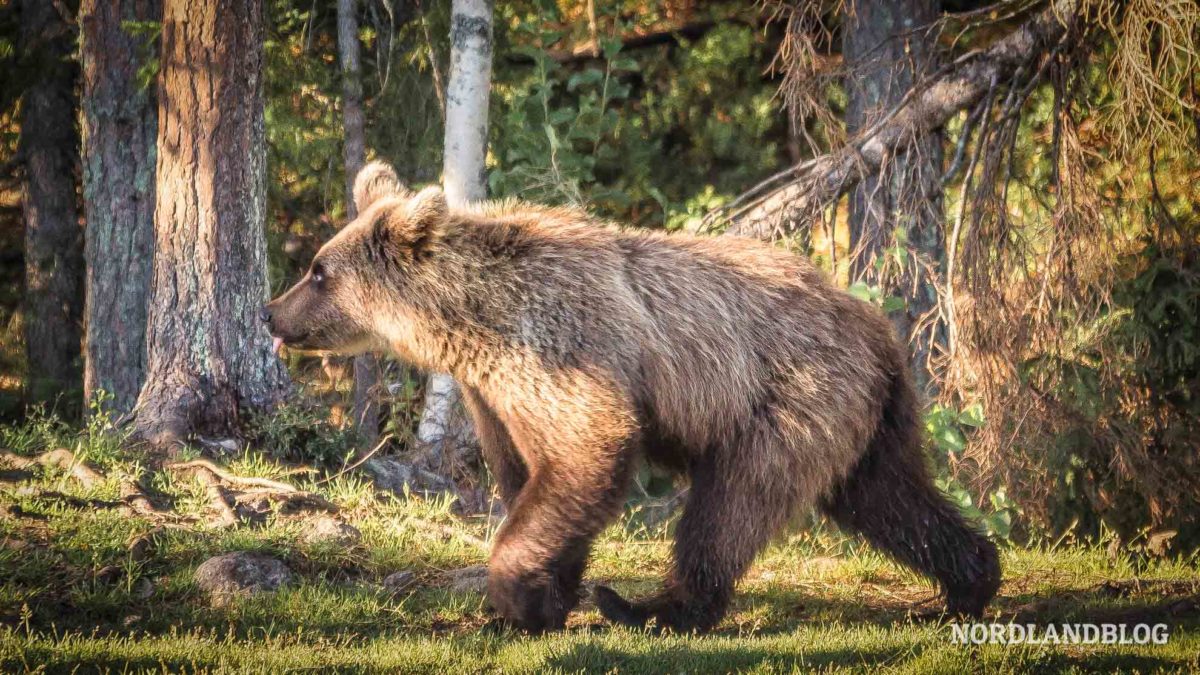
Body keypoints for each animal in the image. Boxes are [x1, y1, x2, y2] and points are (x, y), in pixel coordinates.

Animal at [265, 162, 1003, 629]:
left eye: (318, 271)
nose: (272, 312)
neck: (469, 321)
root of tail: (880, 330)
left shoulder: (560, 347)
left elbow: (588, 448)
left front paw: (514, 593)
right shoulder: (495, 394)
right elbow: (536, 476)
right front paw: (543, 599)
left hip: (788, 398)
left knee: (731, 507)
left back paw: (655, 608)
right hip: (867, 417)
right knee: (888, 496)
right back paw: (969, 580)